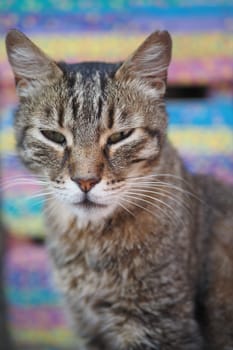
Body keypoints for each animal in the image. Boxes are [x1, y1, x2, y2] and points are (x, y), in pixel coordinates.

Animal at [5, 29, 233, 350]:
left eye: (120, 136)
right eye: (53, 136)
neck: (88, 241)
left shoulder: (158, 324)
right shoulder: (89, 326)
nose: (85, 180)